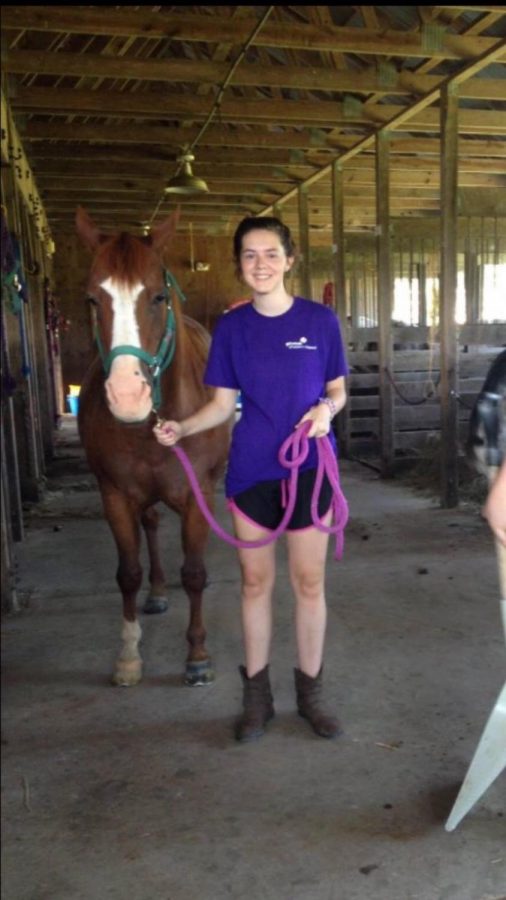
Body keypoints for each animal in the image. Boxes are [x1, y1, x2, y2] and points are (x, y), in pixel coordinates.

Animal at [74, 209, 231, 688]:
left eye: (159, 297)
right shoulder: (114, 496)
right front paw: (128, 656)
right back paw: (159, 592)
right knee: (153, 527)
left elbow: (195, 573)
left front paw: (197, 657)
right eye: (92, 300)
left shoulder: (199, 496)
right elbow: (128, 573)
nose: (128, 397)